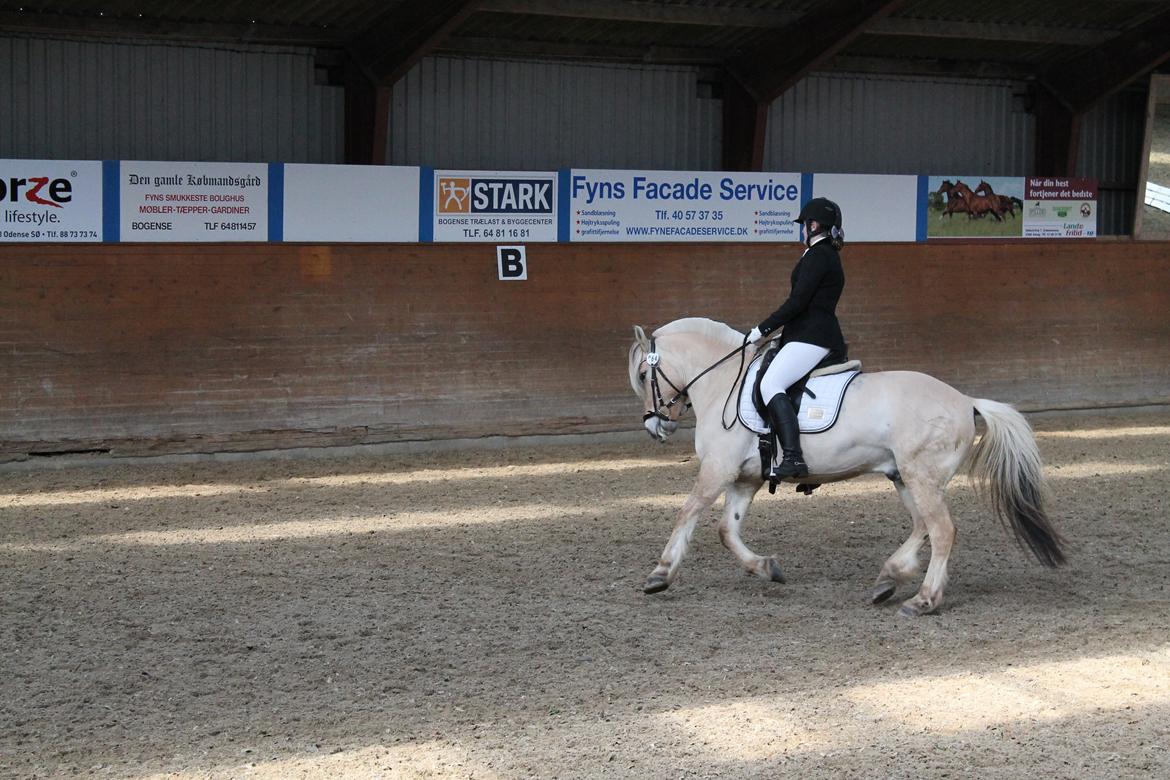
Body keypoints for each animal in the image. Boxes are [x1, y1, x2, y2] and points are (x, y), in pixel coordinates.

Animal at [631, 318, 1071, 617]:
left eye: (642, 374)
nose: (655, 426)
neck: (724, 382)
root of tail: (966, 401)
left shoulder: (718, 470)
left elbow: (687, 512)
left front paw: (660, 574)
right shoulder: (743, 479)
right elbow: (727, 531)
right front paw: (767, 568)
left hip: (920, 477)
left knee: (942, 530)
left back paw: (923, 600)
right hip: (905, 477)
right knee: (923, 526)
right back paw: (890, 578)